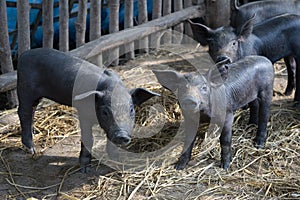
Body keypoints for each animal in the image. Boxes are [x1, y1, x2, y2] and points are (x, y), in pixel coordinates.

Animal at [16, 47, 158, 173]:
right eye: (105, 112)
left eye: (131, 110)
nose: (121, 135)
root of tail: (24, 55)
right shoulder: (83, 113)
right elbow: (88, 138)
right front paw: (85, 169)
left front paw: (116, 161)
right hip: (25, 89)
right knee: (23, 112)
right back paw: (31, 150)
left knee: (32, 110)